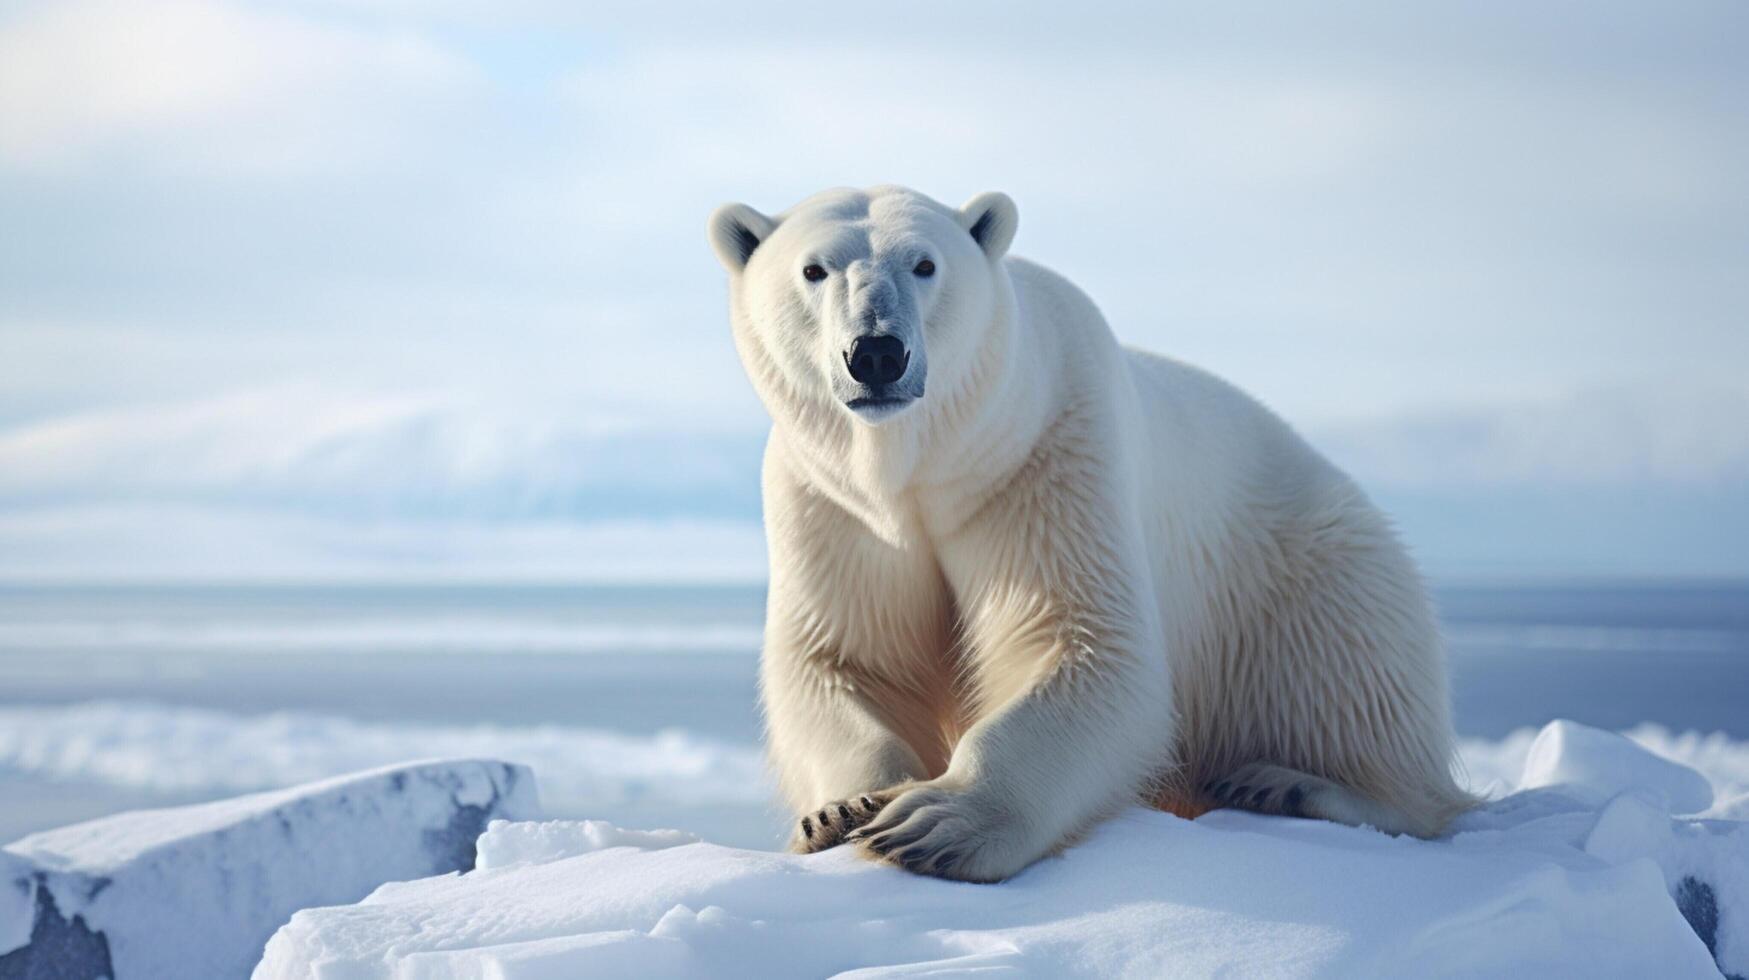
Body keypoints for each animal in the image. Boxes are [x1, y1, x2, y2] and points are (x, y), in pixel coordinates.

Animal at [703, 183, 1469, 882]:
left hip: (1308, 571)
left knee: (1350, 686)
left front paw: (933, 821)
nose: (877, 353)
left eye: (924, 264)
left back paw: (1291, 784)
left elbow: (1082, 644)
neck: (925, 466)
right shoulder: (834, 506)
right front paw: (844, 810)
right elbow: (842, 659)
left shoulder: (1048, 457)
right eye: (814, 269)